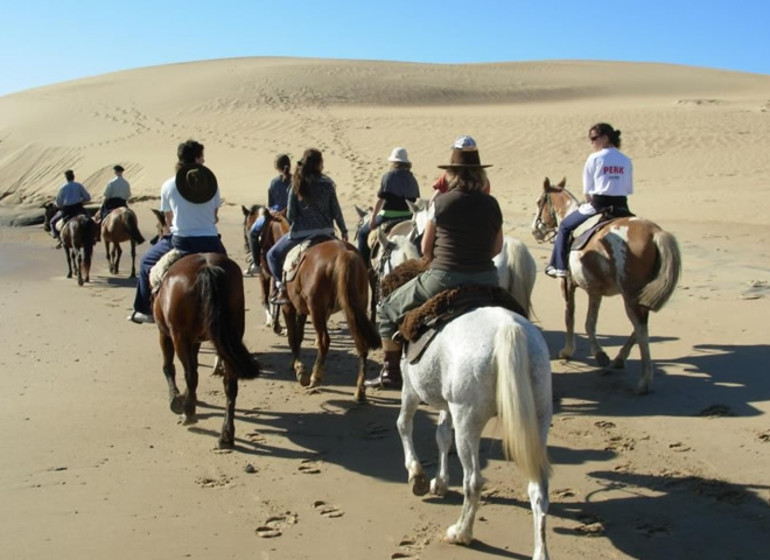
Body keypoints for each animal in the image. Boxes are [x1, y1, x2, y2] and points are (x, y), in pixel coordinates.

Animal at [154, 252, 260, 448]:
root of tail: (207, 267)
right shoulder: (195, 341)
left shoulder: (165, 334)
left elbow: (169, 367)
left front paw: (175, 399)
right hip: (229, 337)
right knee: (230, 384)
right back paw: (226, 435)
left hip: (180, 337)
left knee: (191, 374)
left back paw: (188, 413)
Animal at [280, 238, 380, 400]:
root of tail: (343, 253)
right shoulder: (301, 310)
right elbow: (298, 336)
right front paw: (295, 364)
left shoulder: (288, 306)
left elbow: (292, 337)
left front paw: (299, 368)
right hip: (354, 309)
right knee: (361, 344)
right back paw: (360, 390)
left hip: (316, 309)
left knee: (324, 341)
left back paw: (315, 377)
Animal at [396, 308, 552, 556]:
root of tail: (508, 327)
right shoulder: (447, 405)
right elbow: (442, 436)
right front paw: (440, 482)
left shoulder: (410, 388)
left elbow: (403, 424)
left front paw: (416, 473)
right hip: (539, 420)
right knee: (538, 489)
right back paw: (540, 552)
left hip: (467, 422)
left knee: (473, 481)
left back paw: (461, 533)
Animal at [528, 178, 680, 394]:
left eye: (539, 202)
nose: (535, 230)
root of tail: (655, 233)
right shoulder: (595, 291)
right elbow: (590, 321)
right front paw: (600, 354)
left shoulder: (567, 285)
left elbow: (570, 317)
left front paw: (568, 351)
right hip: (639, 295)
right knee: (639, 327)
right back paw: (620, 359)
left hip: (629, 295)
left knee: (641, 329)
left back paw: (644, 381)